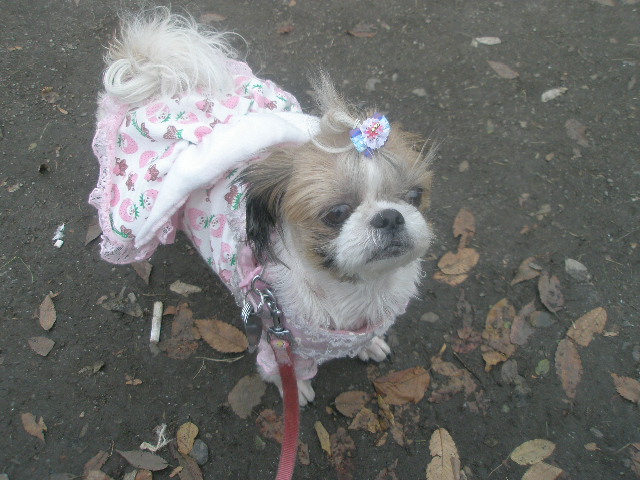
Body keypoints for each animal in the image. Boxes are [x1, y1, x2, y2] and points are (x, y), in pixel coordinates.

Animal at [90, 8, 435, 405]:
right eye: (336, 213)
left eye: (414, 197)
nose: (390, 216)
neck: (355, 291)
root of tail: (161, 77)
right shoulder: (278, 342)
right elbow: (285, 372)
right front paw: (296, 389)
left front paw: (368, 345)